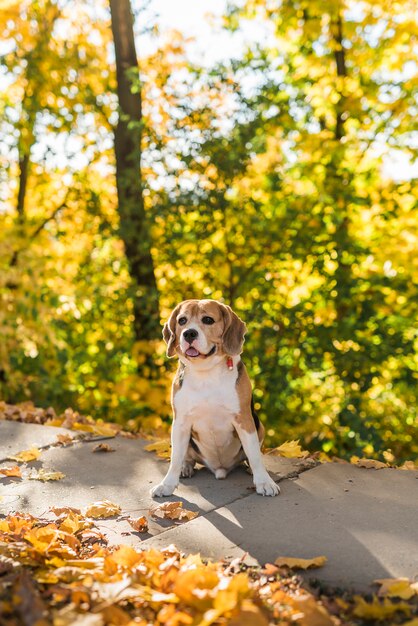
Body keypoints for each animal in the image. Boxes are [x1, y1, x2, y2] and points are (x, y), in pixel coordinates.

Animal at [150, 298, 280, 498]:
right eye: (182, 321)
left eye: (208, 320)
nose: (189, 333)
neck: (206, 373)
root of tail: (220, 468)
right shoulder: (180, 423)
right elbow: (175, 458)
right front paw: (167, 484)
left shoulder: (245, 420)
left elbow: (255, 455)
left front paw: (264, 481)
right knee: (186, 457)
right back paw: (186, 467)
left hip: (260, 427)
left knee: (251, 455)